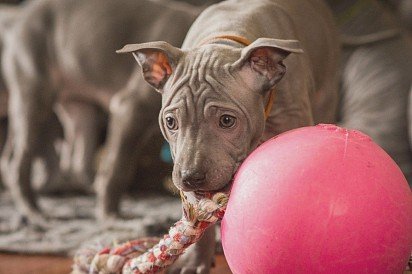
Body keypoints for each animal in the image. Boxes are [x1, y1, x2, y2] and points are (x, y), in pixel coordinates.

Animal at [117, 0, 340, 272]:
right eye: (170, 122)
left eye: (226, 121)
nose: (190, 177)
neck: (223, 40)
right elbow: (196, 215)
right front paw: (197, 259)